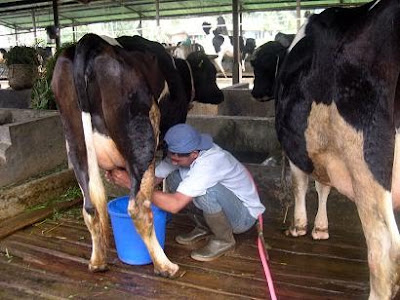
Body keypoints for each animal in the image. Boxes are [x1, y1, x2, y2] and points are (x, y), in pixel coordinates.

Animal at [51, 34, 223, 278]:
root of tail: (89, 40)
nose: (221, 94)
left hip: (75, 143)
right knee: (138, 208)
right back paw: (165, 266)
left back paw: (97, 261)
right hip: (142, 135)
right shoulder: (173, 126)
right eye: (210, 72)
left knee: (90, 207)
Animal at [252, 0, 400, 298]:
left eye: (260, 63)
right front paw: (320, 227)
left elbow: (301, 185)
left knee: (385, 251)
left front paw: (299, 225)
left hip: (367, 164)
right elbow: (324, 186)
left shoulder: (298, 147)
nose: (253, 91)